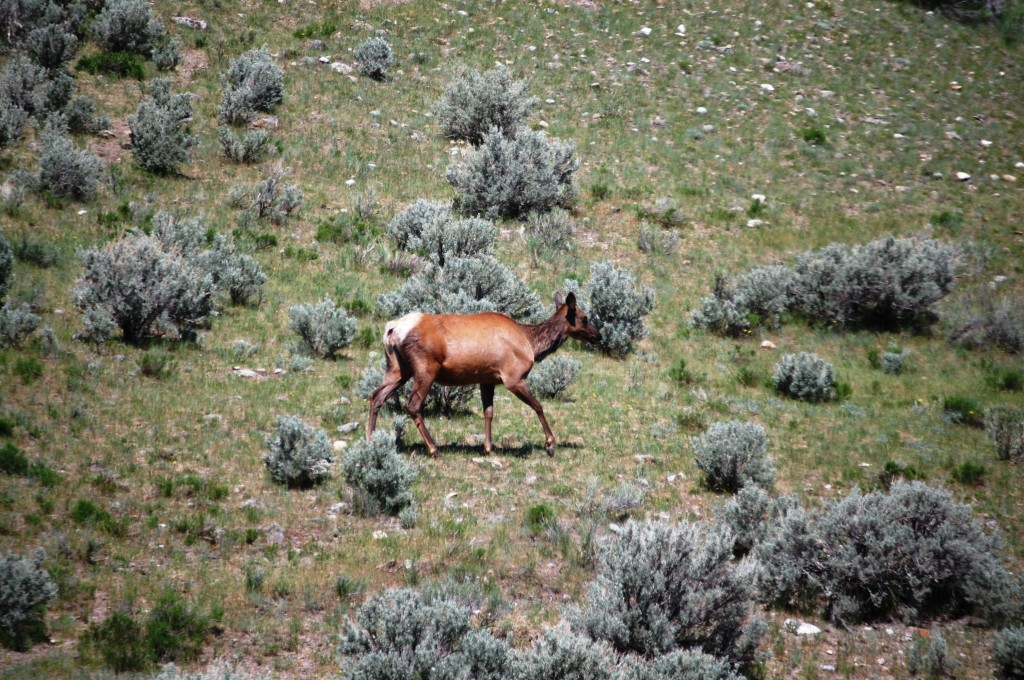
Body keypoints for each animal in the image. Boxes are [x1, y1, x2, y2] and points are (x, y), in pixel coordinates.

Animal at [368, 292, 598, 456]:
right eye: (585, 317)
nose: (598, 334)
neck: (531, 344)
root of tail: (392, 329)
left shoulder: (487, 380)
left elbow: (488, 412)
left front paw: (488, 447)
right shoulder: (513, 377)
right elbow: (538, 406)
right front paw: (550, 444)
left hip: (398, 368)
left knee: (376, 395)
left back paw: (370, 440)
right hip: (425, 367)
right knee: (412, 404)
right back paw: (433, 448)